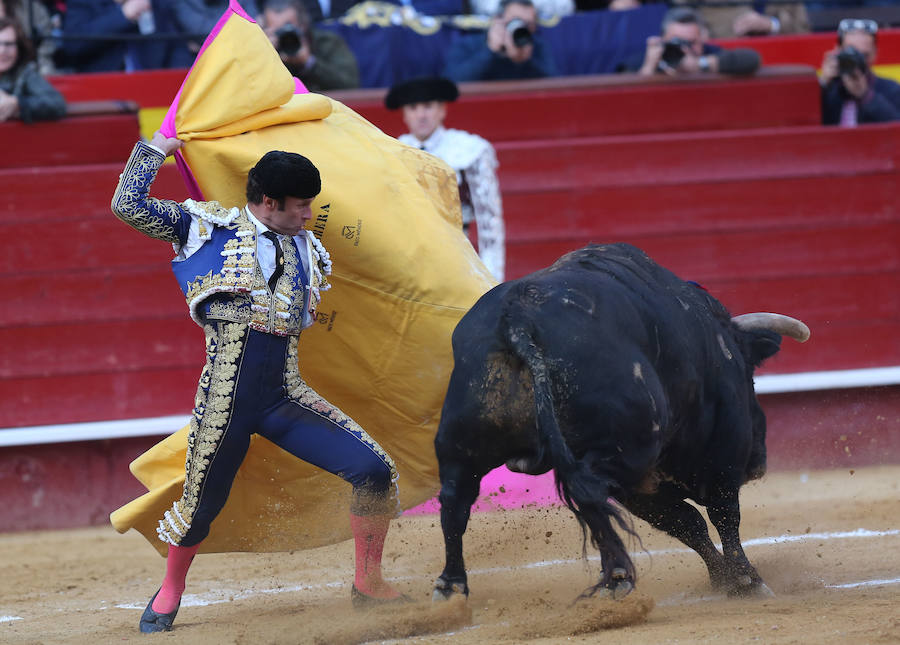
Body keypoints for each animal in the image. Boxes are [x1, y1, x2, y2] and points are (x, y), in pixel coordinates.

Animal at [430, 242, 808, 600]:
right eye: (751, 379)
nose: (758, 462)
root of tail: (518, 316)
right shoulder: (720, 455)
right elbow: (722, 515)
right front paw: (746, 581)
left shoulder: (639, 486)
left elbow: (688, 525)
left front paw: (723, 580)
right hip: (628, 449)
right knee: (587, 491)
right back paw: (617, 577)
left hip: (463, 441)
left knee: (455, 501)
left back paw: (451, 587)